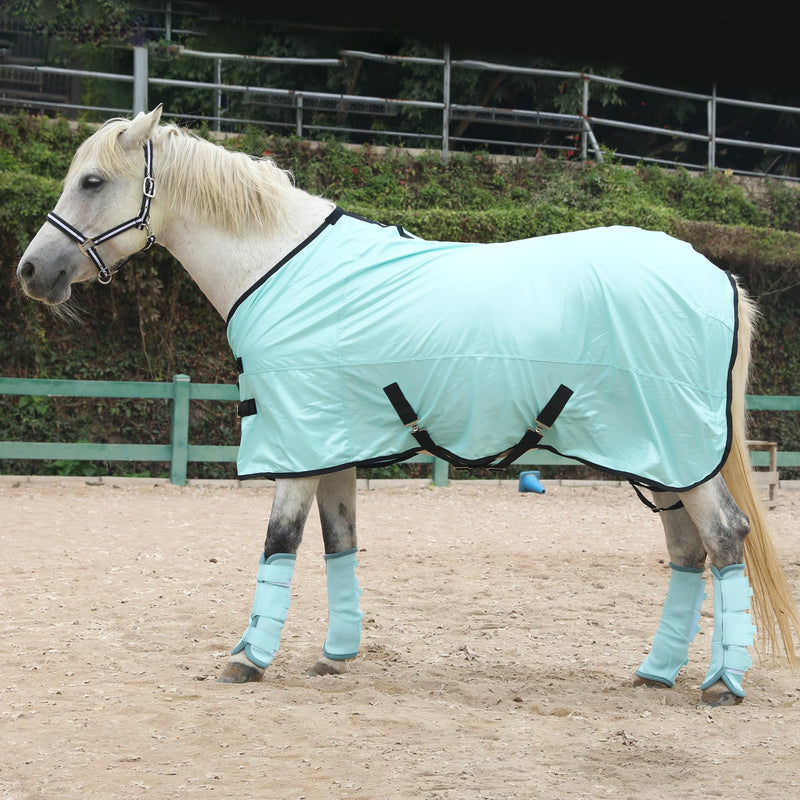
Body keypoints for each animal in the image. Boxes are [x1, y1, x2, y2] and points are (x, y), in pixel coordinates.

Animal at [16, 106, 800, 705]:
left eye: (92, 180)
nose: (30, 271)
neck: (279, 266)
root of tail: (716, 276)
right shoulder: (329, 444)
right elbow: (338, 543)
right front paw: (334, 655)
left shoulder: (296, 446)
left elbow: (278, 543)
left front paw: (247, 658)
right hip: (658, 459)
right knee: (689, 551)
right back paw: (656, 672)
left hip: (679, 456)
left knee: (725, 538)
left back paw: (723, 683)